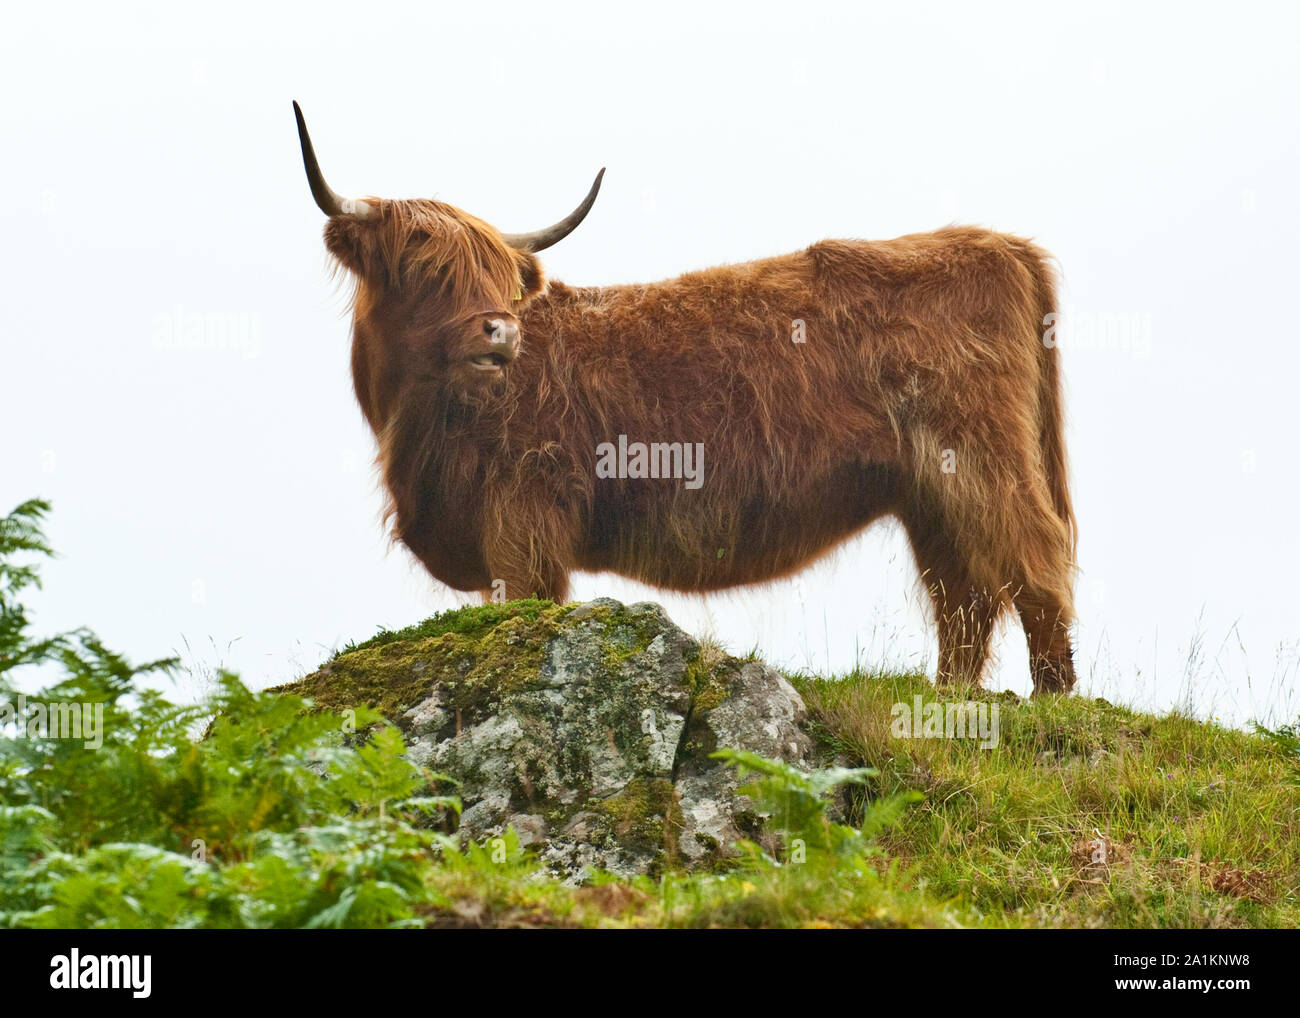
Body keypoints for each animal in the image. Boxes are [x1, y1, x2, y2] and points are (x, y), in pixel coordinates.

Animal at [292, 101, 1076, 691]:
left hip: (980, 458)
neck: (416, 427)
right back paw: (950, 700)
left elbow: (527, 606)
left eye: (503, 279)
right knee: (963, 599)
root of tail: (998, 244)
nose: (501, 330)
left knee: (1035, 563)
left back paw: (1052, 700)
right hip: (928, 491)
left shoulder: (525, 518)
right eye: (425, 268)